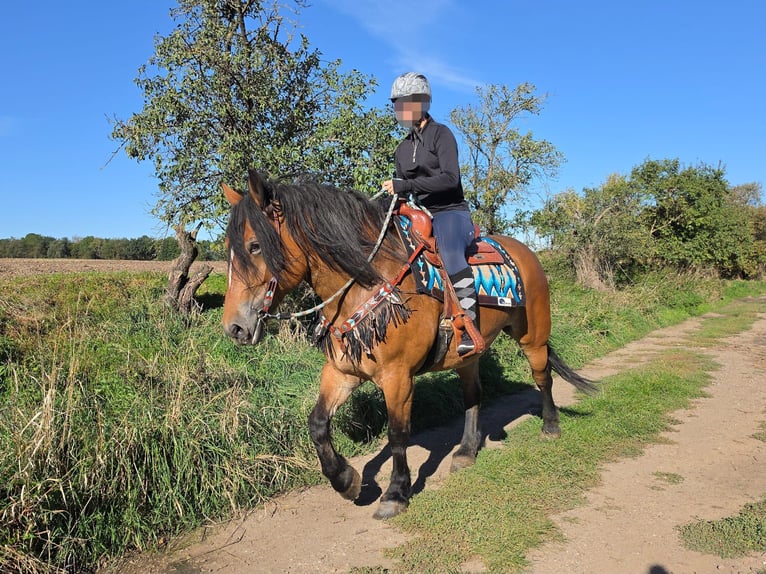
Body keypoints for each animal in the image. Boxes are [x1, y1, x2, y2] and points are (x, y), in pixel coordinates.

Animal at [222, 169, 595, 519]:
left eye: (254, 246)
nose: (234, 328)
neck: (367, 282)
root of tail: (525, 252)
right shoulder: (342, 371)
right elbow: (317, 424)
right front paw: (346, 481)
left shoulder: (397, 376)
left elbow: (398, 434)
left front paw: (396, 493)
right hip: (467, 356)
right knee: (473, 395)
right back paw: (465, 451)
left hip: (533, 336)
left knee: (542, 377)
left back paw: (550, 426)